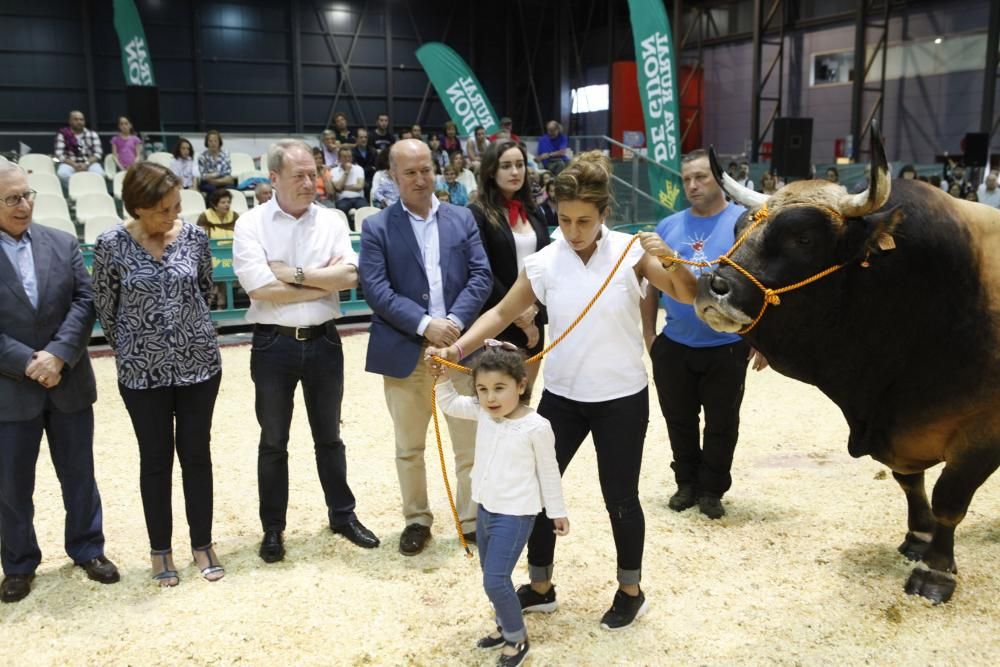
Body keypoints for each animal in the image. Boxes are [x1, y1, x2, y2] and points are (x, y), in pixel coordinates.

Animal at [696, 121, 1000, 604]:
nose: (712, 286)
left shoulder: (983, 428)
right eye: (740, 228)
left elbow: (950, 498)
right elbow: (909, 482)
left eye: (803, 238)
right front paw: (917, 538)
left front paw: (935, 571)